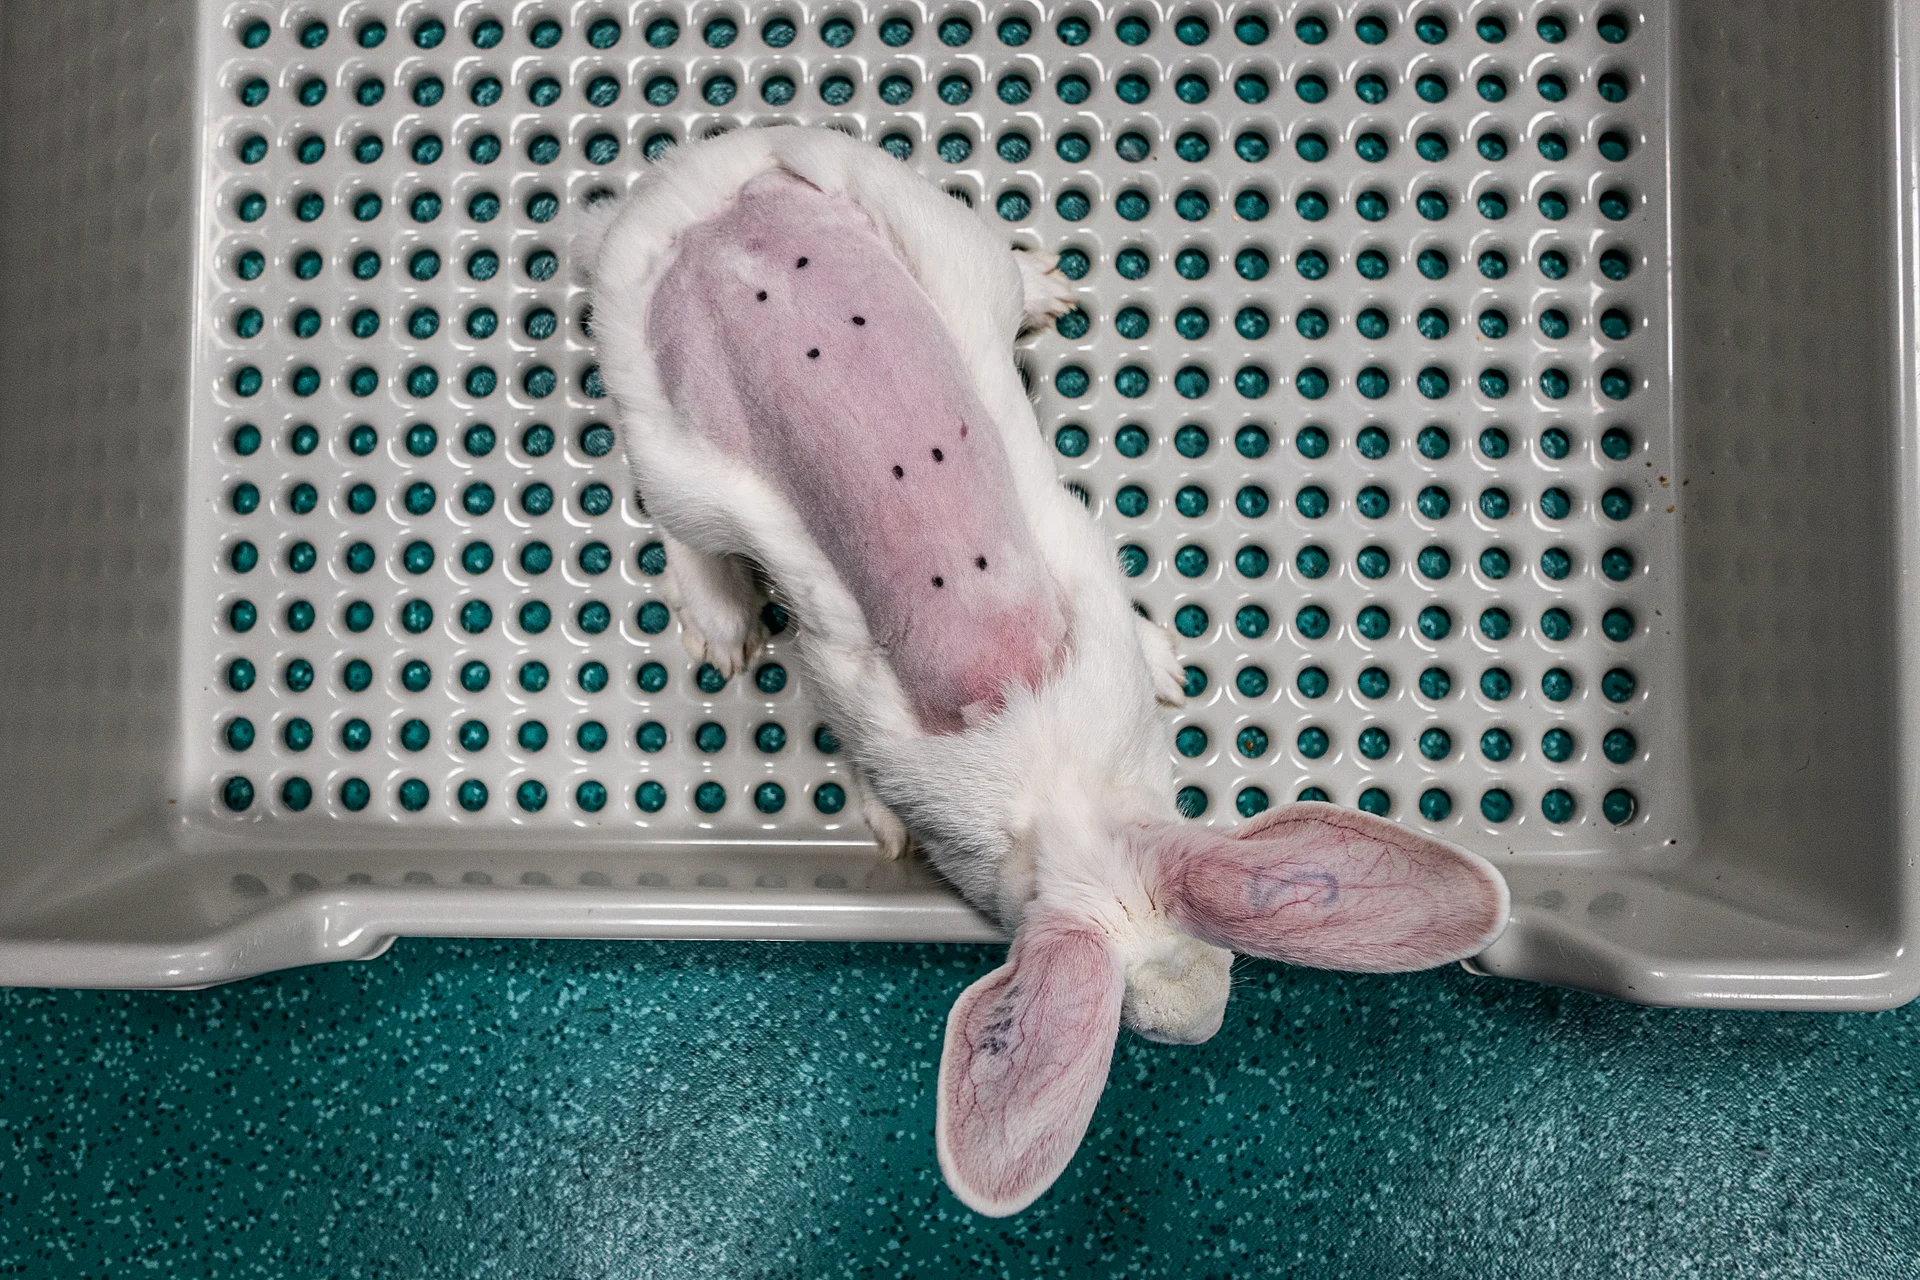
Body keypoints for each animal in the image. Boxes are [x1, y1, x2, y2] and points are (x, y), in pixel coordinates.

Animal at [591, 124, 1505, 1220]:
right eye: (1143, 1025)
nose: (1203, 1022)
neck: (1062, 800)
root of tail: (709, 203)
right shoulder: (842, 694)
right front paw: (888, 830)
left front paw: (1170, 666)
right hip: (675, 459)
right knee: (680, 533)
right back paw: (722, 630)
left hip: (928, 232)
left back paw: (1053, 289)